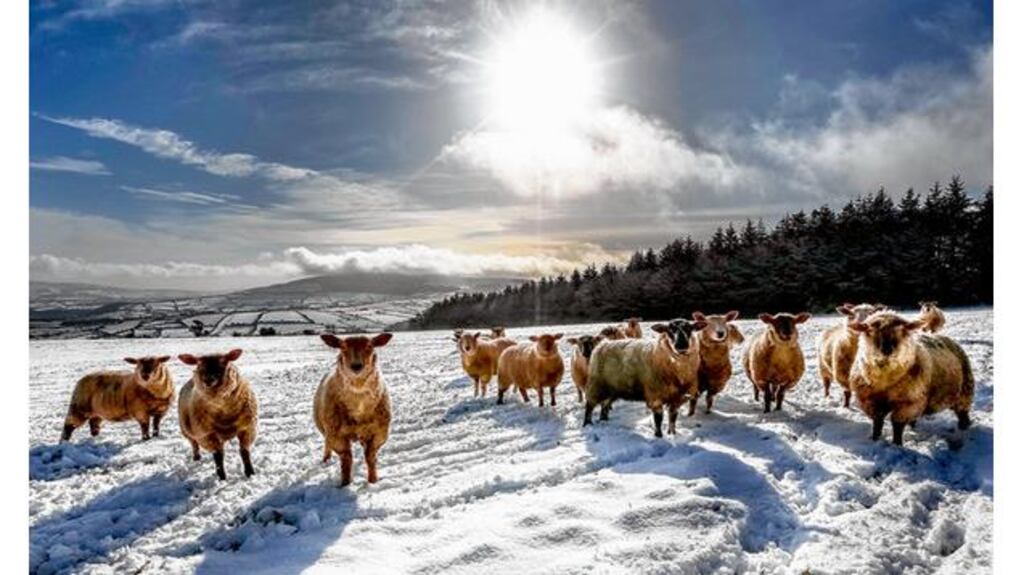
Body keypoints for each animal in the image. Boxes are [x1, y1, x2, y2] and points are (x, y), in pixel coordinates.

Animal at [177, 349, 258, 480]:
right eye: (199, 365)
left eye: (223, 362)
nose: (208, 380)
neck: (224, 413)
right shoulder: (207, 435)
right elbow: (218, 456)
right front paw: (222, 477)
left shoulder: (247, 428)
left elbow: (244, 452)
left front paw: (250, 472)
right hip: (187, 430)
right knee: (194, 444)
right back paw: (196, 458)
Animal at [314, 333, 393, 486]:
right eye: (343, 347)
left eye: (370, 346)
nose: (356, 366)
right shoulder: (336, 436)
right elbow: (346, 460)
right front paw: (345, 483)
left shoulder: (380, 433)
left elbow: (370, 456)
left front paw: (373, 480)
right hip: (327, 429)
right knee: (327, 444)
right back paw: (326, 460)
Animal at [848, 311, 974, 445]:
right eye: (870, 330)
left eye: (902, 330)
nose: (887, 350)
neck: (886, 381)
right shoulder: (870, 401)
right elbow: (877, 423)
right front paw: (875, 439)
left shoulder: (908, 403)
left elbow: (897, 425)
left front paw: (897, 444)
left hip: (964, 392)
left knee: (963, 413)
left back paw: (964, 428)